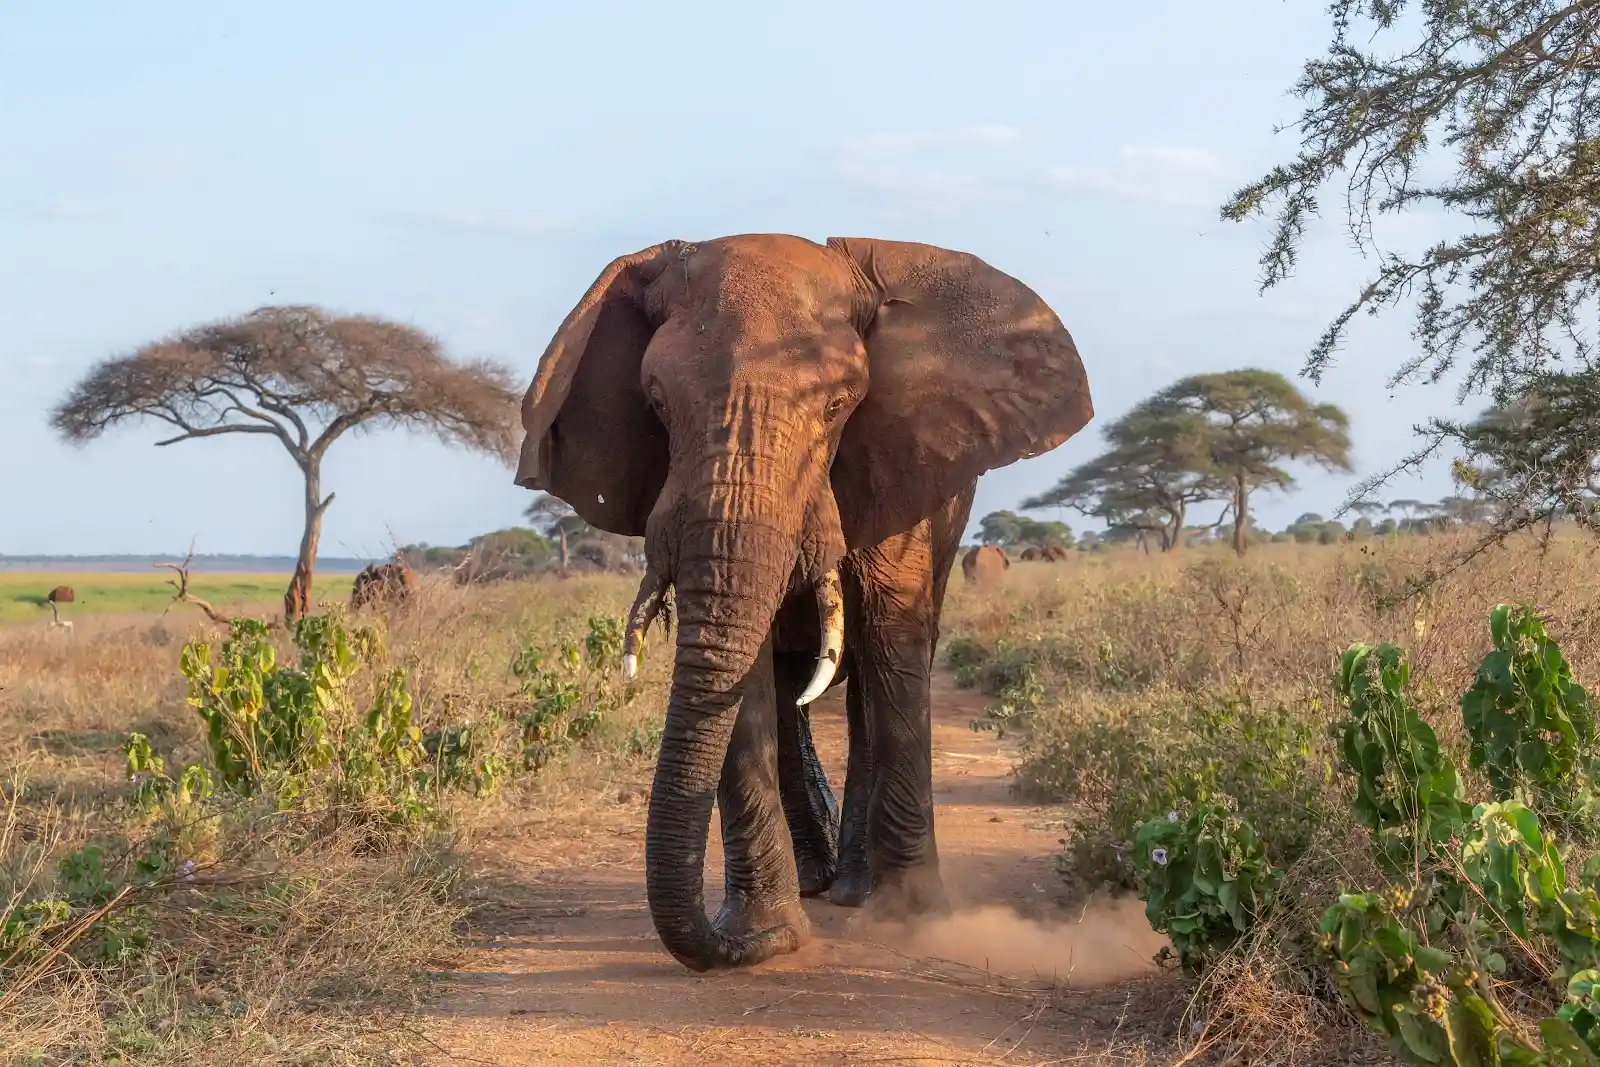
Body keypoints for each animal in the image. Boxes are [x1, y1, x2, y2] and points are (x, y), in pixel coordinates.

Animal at [514, 234, 1092, 973]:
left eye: (839, 405)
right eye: (657, 402)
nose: (722, 944)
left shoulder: (904, 459)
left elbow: (892, 634)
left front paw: (912, 917)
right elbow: (746, 668)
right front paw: (766, 937)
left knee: (875, 672)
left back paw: (855, 891)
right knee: (796, 688)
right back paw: (820, 882)